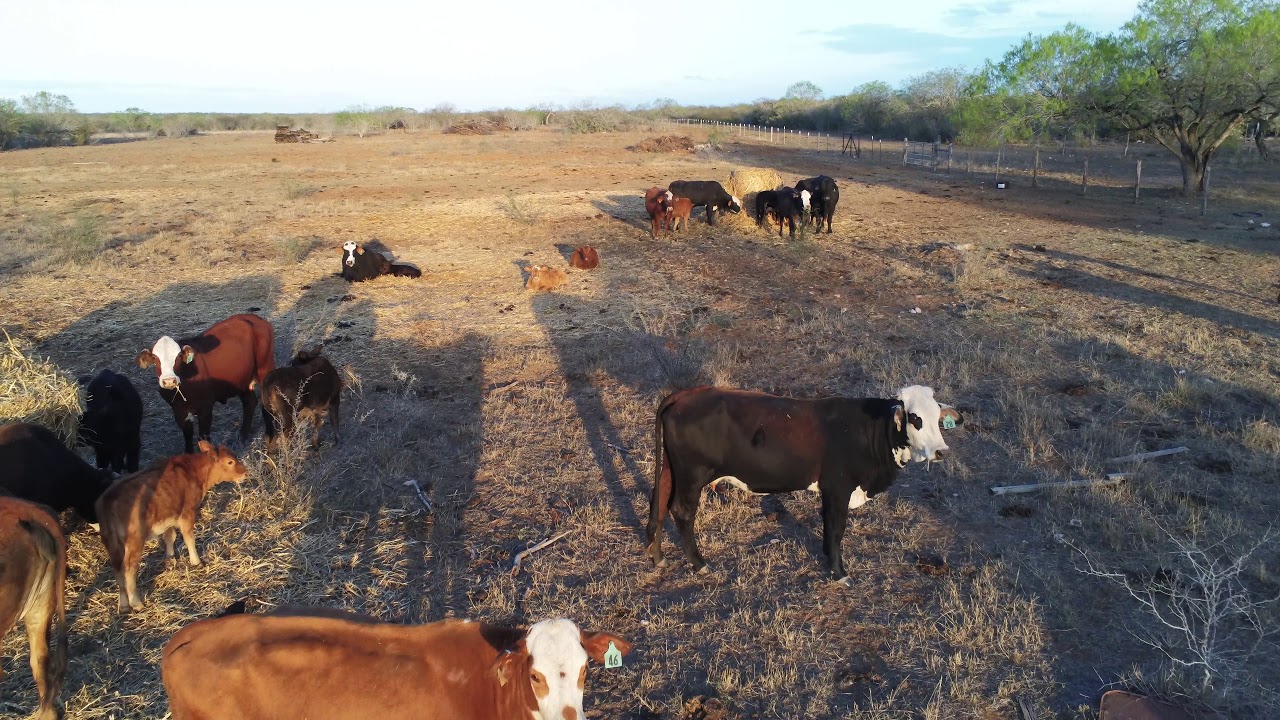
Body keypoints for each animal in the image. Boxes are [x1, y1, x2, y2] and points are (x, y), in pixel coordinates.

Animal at [95, 440, 248, 612]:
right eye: (230, 462)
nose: (245, 473)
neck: (193, 471)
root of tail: (108, 499)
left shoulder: (169, 514)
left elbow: (170, 536)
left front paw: (170, 557)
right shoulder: (187, 511)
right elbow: (189, 537)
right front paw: (196, 561)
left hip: (110, 541)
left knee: (116, 568)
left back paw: (123, 605)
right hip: (134, 540)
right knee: (128, 569)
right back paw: (136, 602)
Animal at [136, 313, 276, 453]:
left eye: (179, 356)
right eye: (155, 358)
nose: (169, 380)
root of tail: (255, 318)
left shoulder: (205, 408)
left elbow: (203, 438)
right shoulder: (178, 411)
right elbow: (188, 435)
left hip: (264, 370)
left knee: (266, 404)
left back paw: (269, 436)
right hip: (242, 379)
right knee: (249, 403)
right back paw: (242, 436)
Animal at [645, 385, 962, 582]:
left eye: (938, 418)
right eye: (915, 418)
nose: (941, 451)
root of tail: (685, 395)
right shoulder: (838, 488)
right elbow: (835, 529)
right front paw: (839, 572)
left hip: (671, 470)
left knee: (658, 502)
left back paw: (658, 557)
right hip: (693, 475)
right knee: (682, 512)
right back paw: (699, 564)